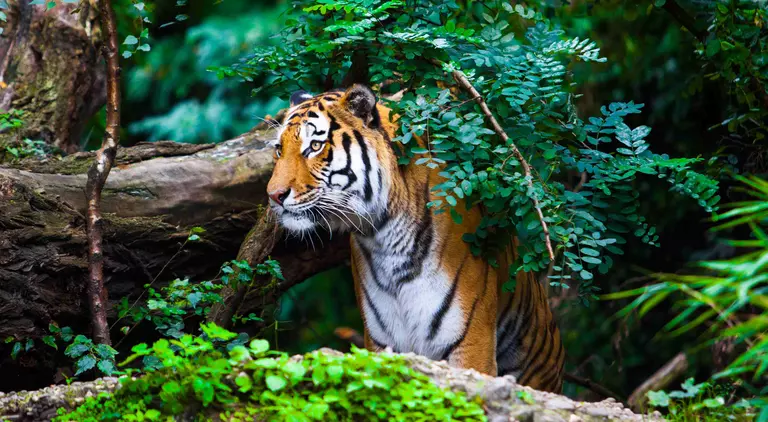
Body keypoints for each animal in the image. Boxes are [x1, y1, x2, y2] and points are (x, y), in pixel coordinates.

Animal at [266, 84, 564, 392]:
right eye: (279, 149)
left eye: (315, 146)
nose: (273, 195)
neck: (383, 236)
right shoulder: (382, 341)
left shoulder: (471, 343)